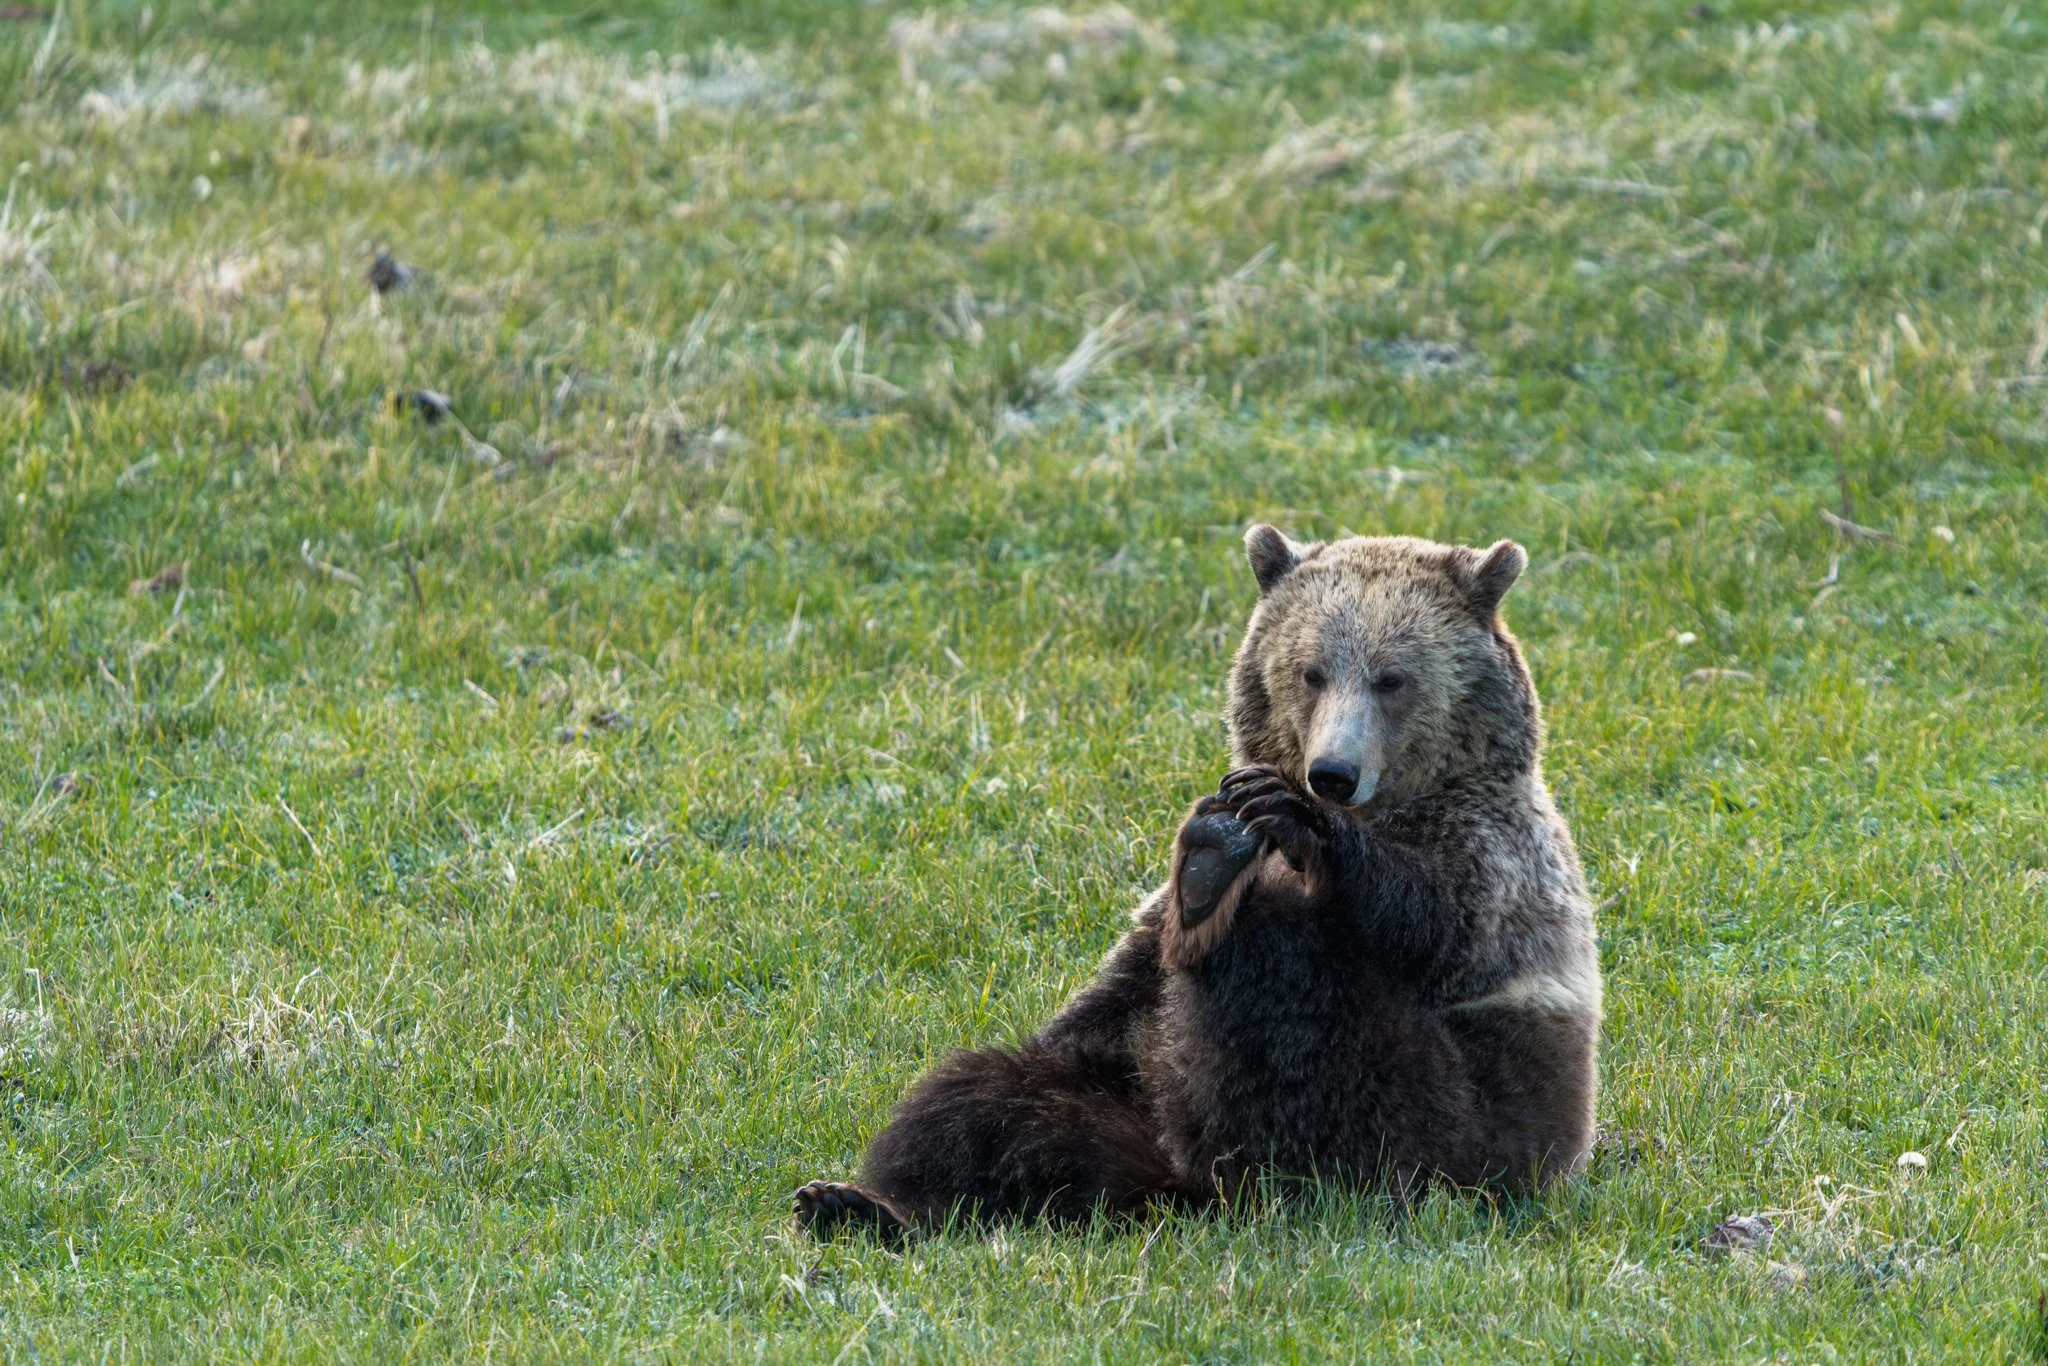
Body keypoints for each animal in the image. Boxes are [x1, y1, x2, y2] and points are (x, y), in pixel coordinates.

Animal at [792, 527, 1600, 1237]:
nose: (1332, 774)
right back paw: (856, 1205)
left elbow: (1436, 915)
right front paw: (1221, 839)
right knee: (985, 1102)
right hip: (1127, 1102)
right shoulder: (1137, 956)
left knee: (1297, 1006)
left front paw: (1290, 821)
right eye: (1311, 671)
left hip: (1453, 1116)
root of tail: (1165, 1176)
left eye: (1391, 678)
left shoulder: (1494, 855)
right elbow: (1098, 1007)